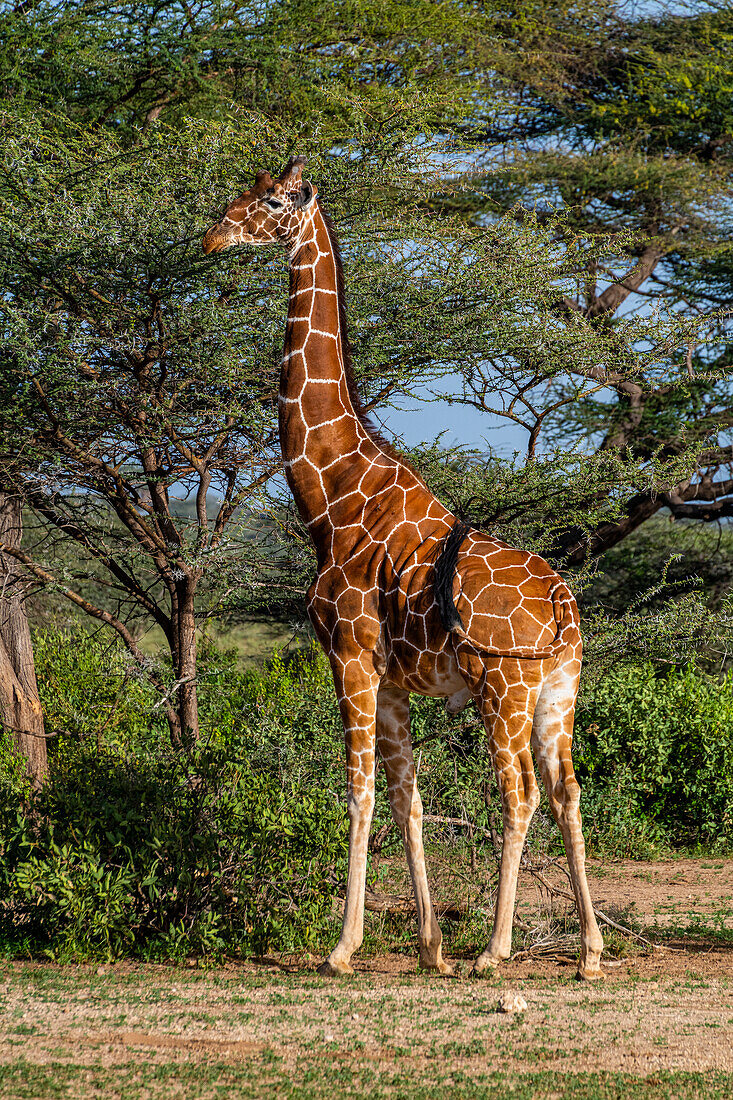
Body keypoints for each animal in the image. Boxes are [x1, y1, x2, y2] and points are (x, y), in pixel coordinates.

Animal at [202, 155, 603, 981]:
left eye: (275, 200)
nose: (213, 235)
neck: (331, 490)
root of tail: (561, 605)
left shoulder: (349, 655)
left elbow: (357, 792)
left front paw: (343, 947)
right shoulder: (391, 678)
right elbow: (405, 797)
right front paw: (428, 948)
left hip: (504, 690)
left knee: (517, 795)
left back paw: (495, 950)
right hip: (559, 689)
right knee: (566, 792)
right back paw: (586, 952)